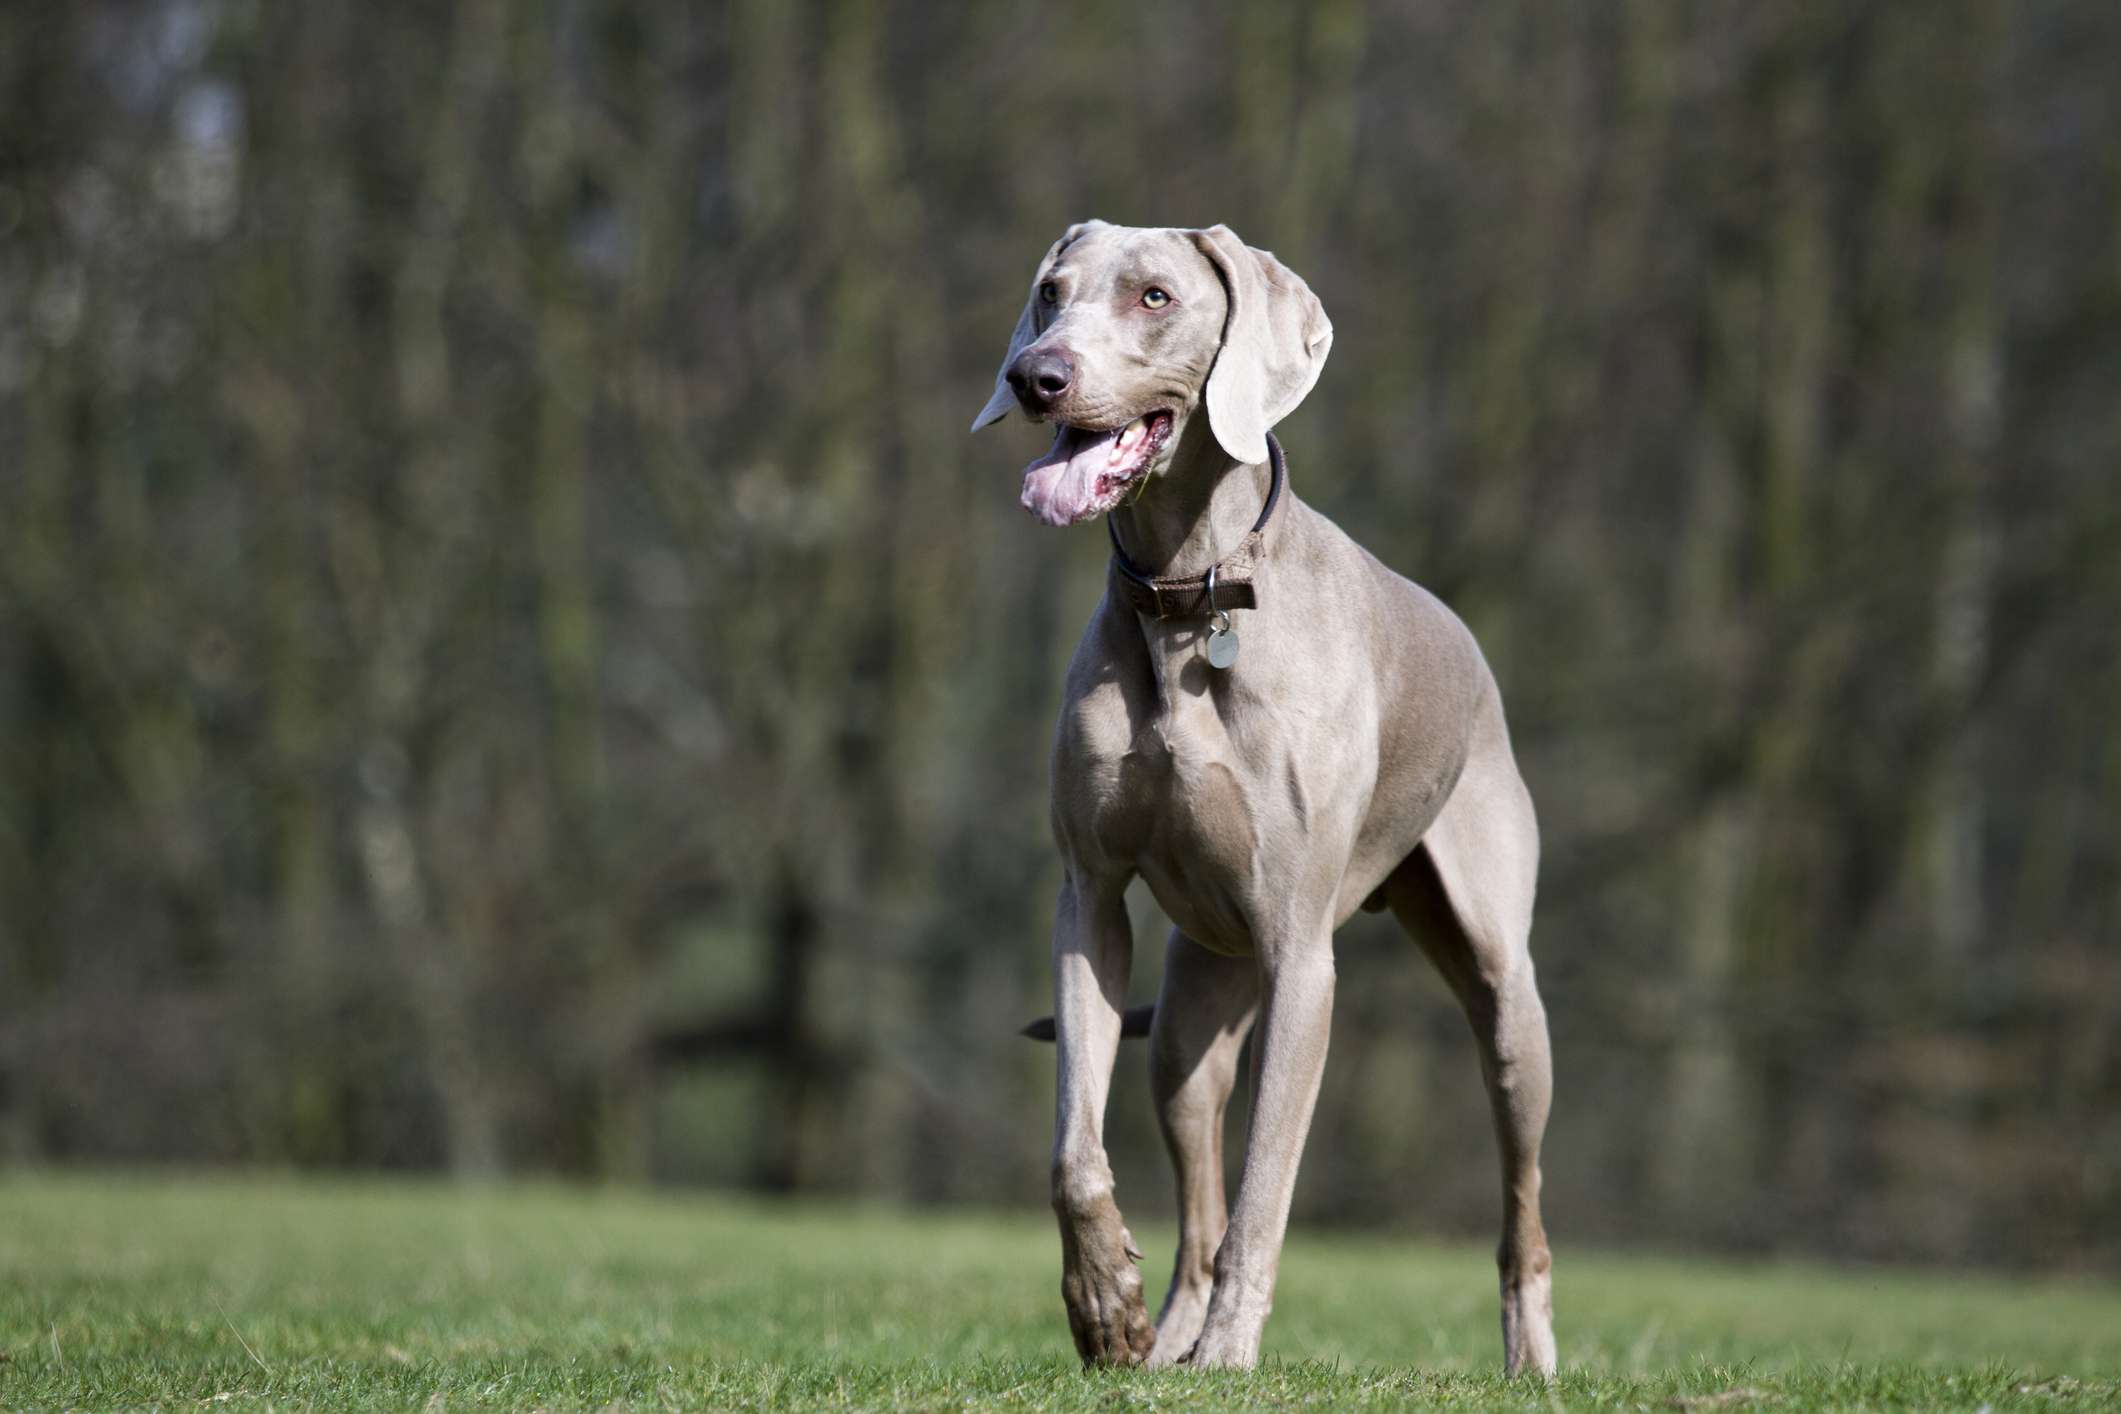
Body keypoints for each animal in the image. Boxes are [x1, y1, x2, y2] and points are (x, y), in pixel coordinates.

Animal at [975, 223, 1561, 1382]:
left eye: (1155, 296)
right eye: (1050, 294)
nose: (1035, 375)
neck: (1189, 594)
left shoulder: (1301, 955)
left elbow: (1265, 1188)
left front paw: (1232, 1353)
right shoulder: (1088, 898)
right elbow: (1075, 1147)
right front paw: (1103, 1305)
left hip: (1506, 1001)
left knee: (1521, 1197)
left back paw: (1532, 1358)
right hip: (1191, 1012)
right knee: (1194, 1183)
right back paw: (1166, 1337)